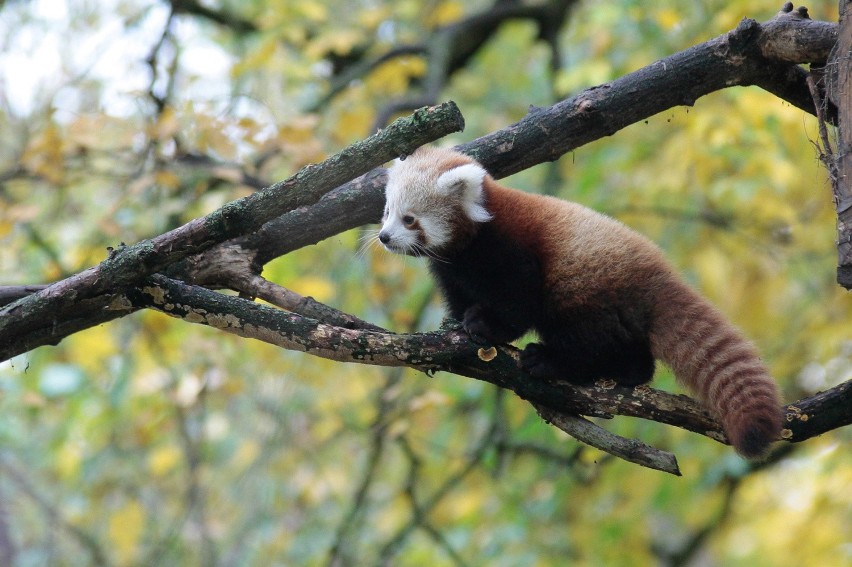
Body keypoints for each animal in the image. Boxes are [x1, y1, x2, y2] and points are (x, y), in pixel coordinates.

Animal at [382, 145, 784, 458]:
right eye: (386, 212)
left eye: (410, 218)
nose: (384, 237)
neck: (472, 238)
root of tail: (657, 275)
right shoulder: (451, 269)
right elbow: (458, 296)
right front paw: (454, 326)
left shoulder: (511, 252)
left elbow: (517, 303)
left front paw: (485, 327)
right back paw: (629, 372)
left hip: (583, 288)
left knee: (585, 335)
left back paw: (552, 361)